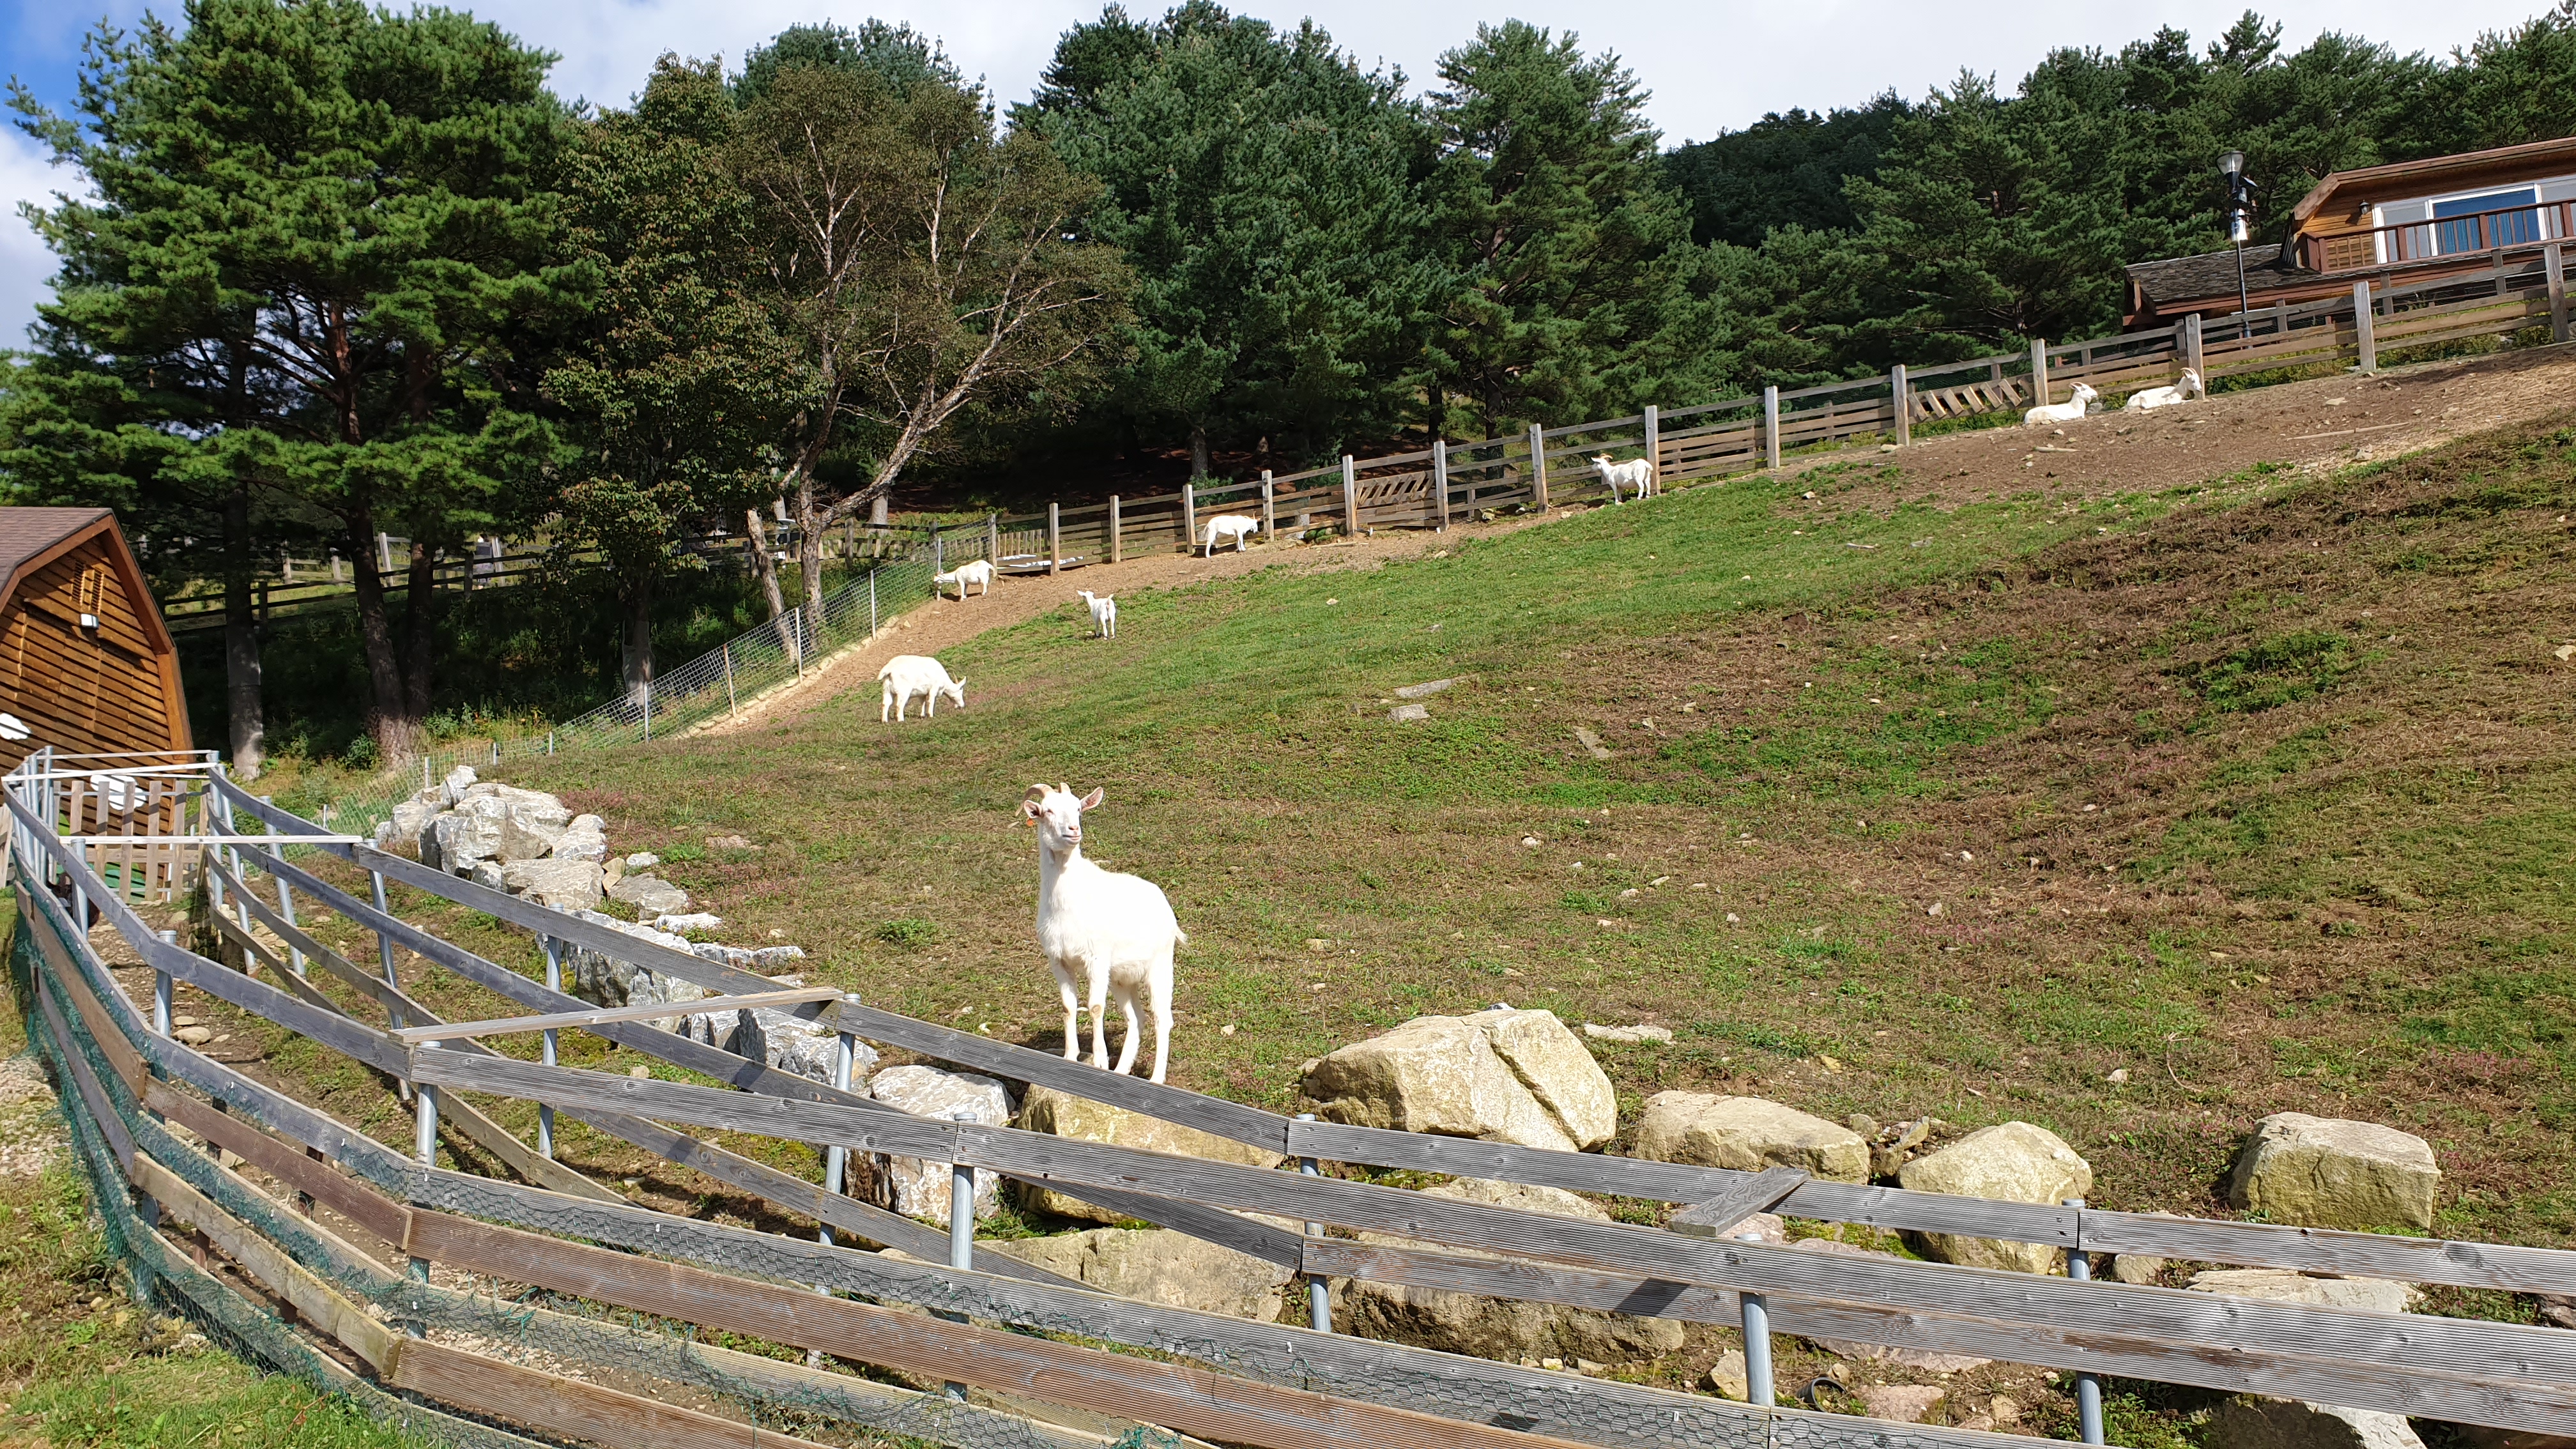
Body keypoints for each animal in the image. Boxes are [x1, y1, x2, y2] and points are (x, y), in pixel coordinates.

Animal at [876, 654, 965, 722]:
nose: (962, 706)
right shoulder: (934, 688)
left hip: (887, 689)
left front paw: (922, 716)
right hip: (903, 691)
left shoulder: (922, 692)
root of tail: (889, 669)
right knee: (899, 705)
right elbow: (931, 701)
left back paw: (885, 721)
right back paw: (901, 720)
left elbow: (923, 702)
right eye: (961, 693)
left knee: (886, 703)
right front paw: (931, 715)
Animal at [1020, 783, 1182, 1082]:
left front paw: (1099, 1062)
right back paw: (1122, 1070)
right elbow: (1068, 1006)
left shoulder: (1096, 958)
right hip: (1121, 977)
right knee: (1136, 1018)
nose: (1073, 830)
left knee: (1162, 1018)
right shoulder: (1058, 960)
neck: (1067, 903)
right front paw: (1070, 1056)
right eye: (1047, 811)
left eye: (1078, 808)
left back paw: (1156, 1078)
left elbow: (1095, 1007)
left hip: (1160, 965)